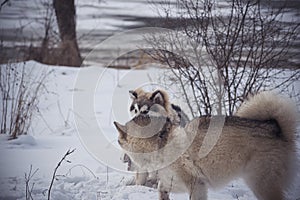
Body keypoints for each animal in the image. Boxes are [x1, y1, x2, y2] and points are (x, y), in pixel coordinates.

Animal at [115, 91, 298, 199]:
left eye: (119, 140)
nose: (121, 157)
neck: (161, 143)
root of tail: (276, 128)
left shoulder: (196, 185)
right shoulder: (173, 182)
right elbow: (161, 189)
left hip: (261, 183)